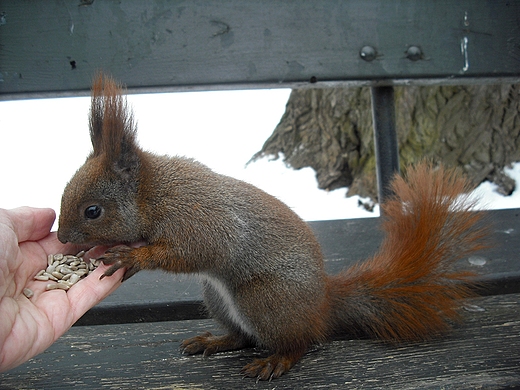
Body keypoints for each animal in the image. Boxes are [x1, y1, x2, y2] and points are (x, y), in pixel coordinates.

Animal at [58, 74, 488, 380]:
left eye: (93, 211)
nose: (61, 239)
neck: (154, 194)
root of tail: (323, 303)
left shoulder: (198, 216)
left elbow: (197, 251)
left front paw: (134, 257)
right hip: (217, 297)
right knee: (242, 336)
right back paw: (215, 340)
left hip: (265, 299)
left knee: (301, 341)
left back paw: (277, 360)